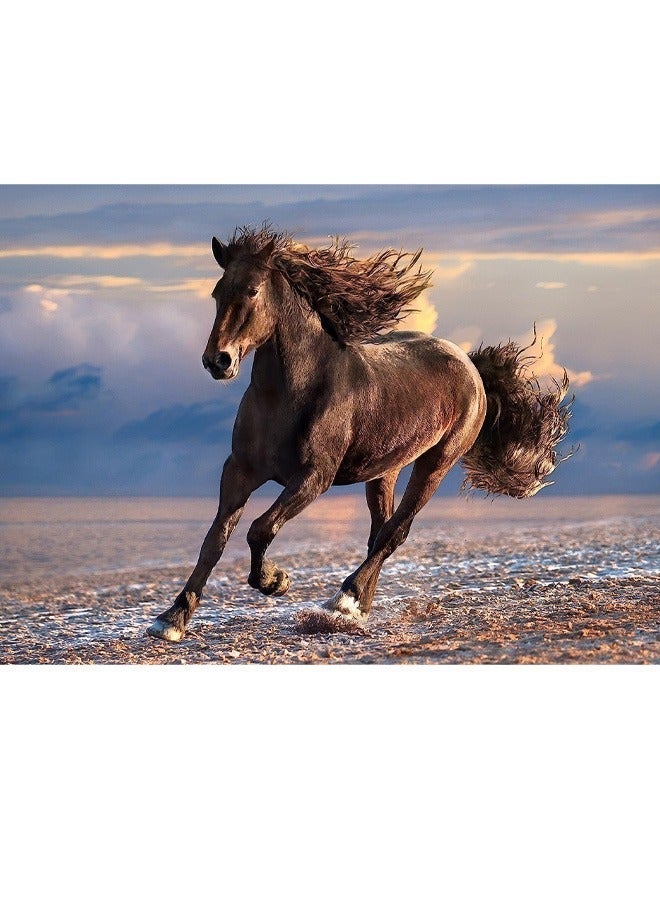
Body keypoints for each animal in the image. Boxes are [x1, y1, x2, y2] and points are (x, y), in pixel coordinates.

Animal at [147, 225, 571, 642]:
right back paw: (358, 606)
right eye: (217, 293)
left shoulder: (314, 477)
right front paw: (172, 618)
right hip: (385, 470)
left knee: (395, 531)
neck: (289, 394)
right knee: (379, 531)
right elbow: (214, 541)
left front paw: (275, 581)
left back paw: (344, 600)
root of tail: (469, 364)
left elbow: (259, 529)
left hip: (436, 463)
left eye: (252, 290)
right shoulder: (240, 471)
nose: (217, 361)